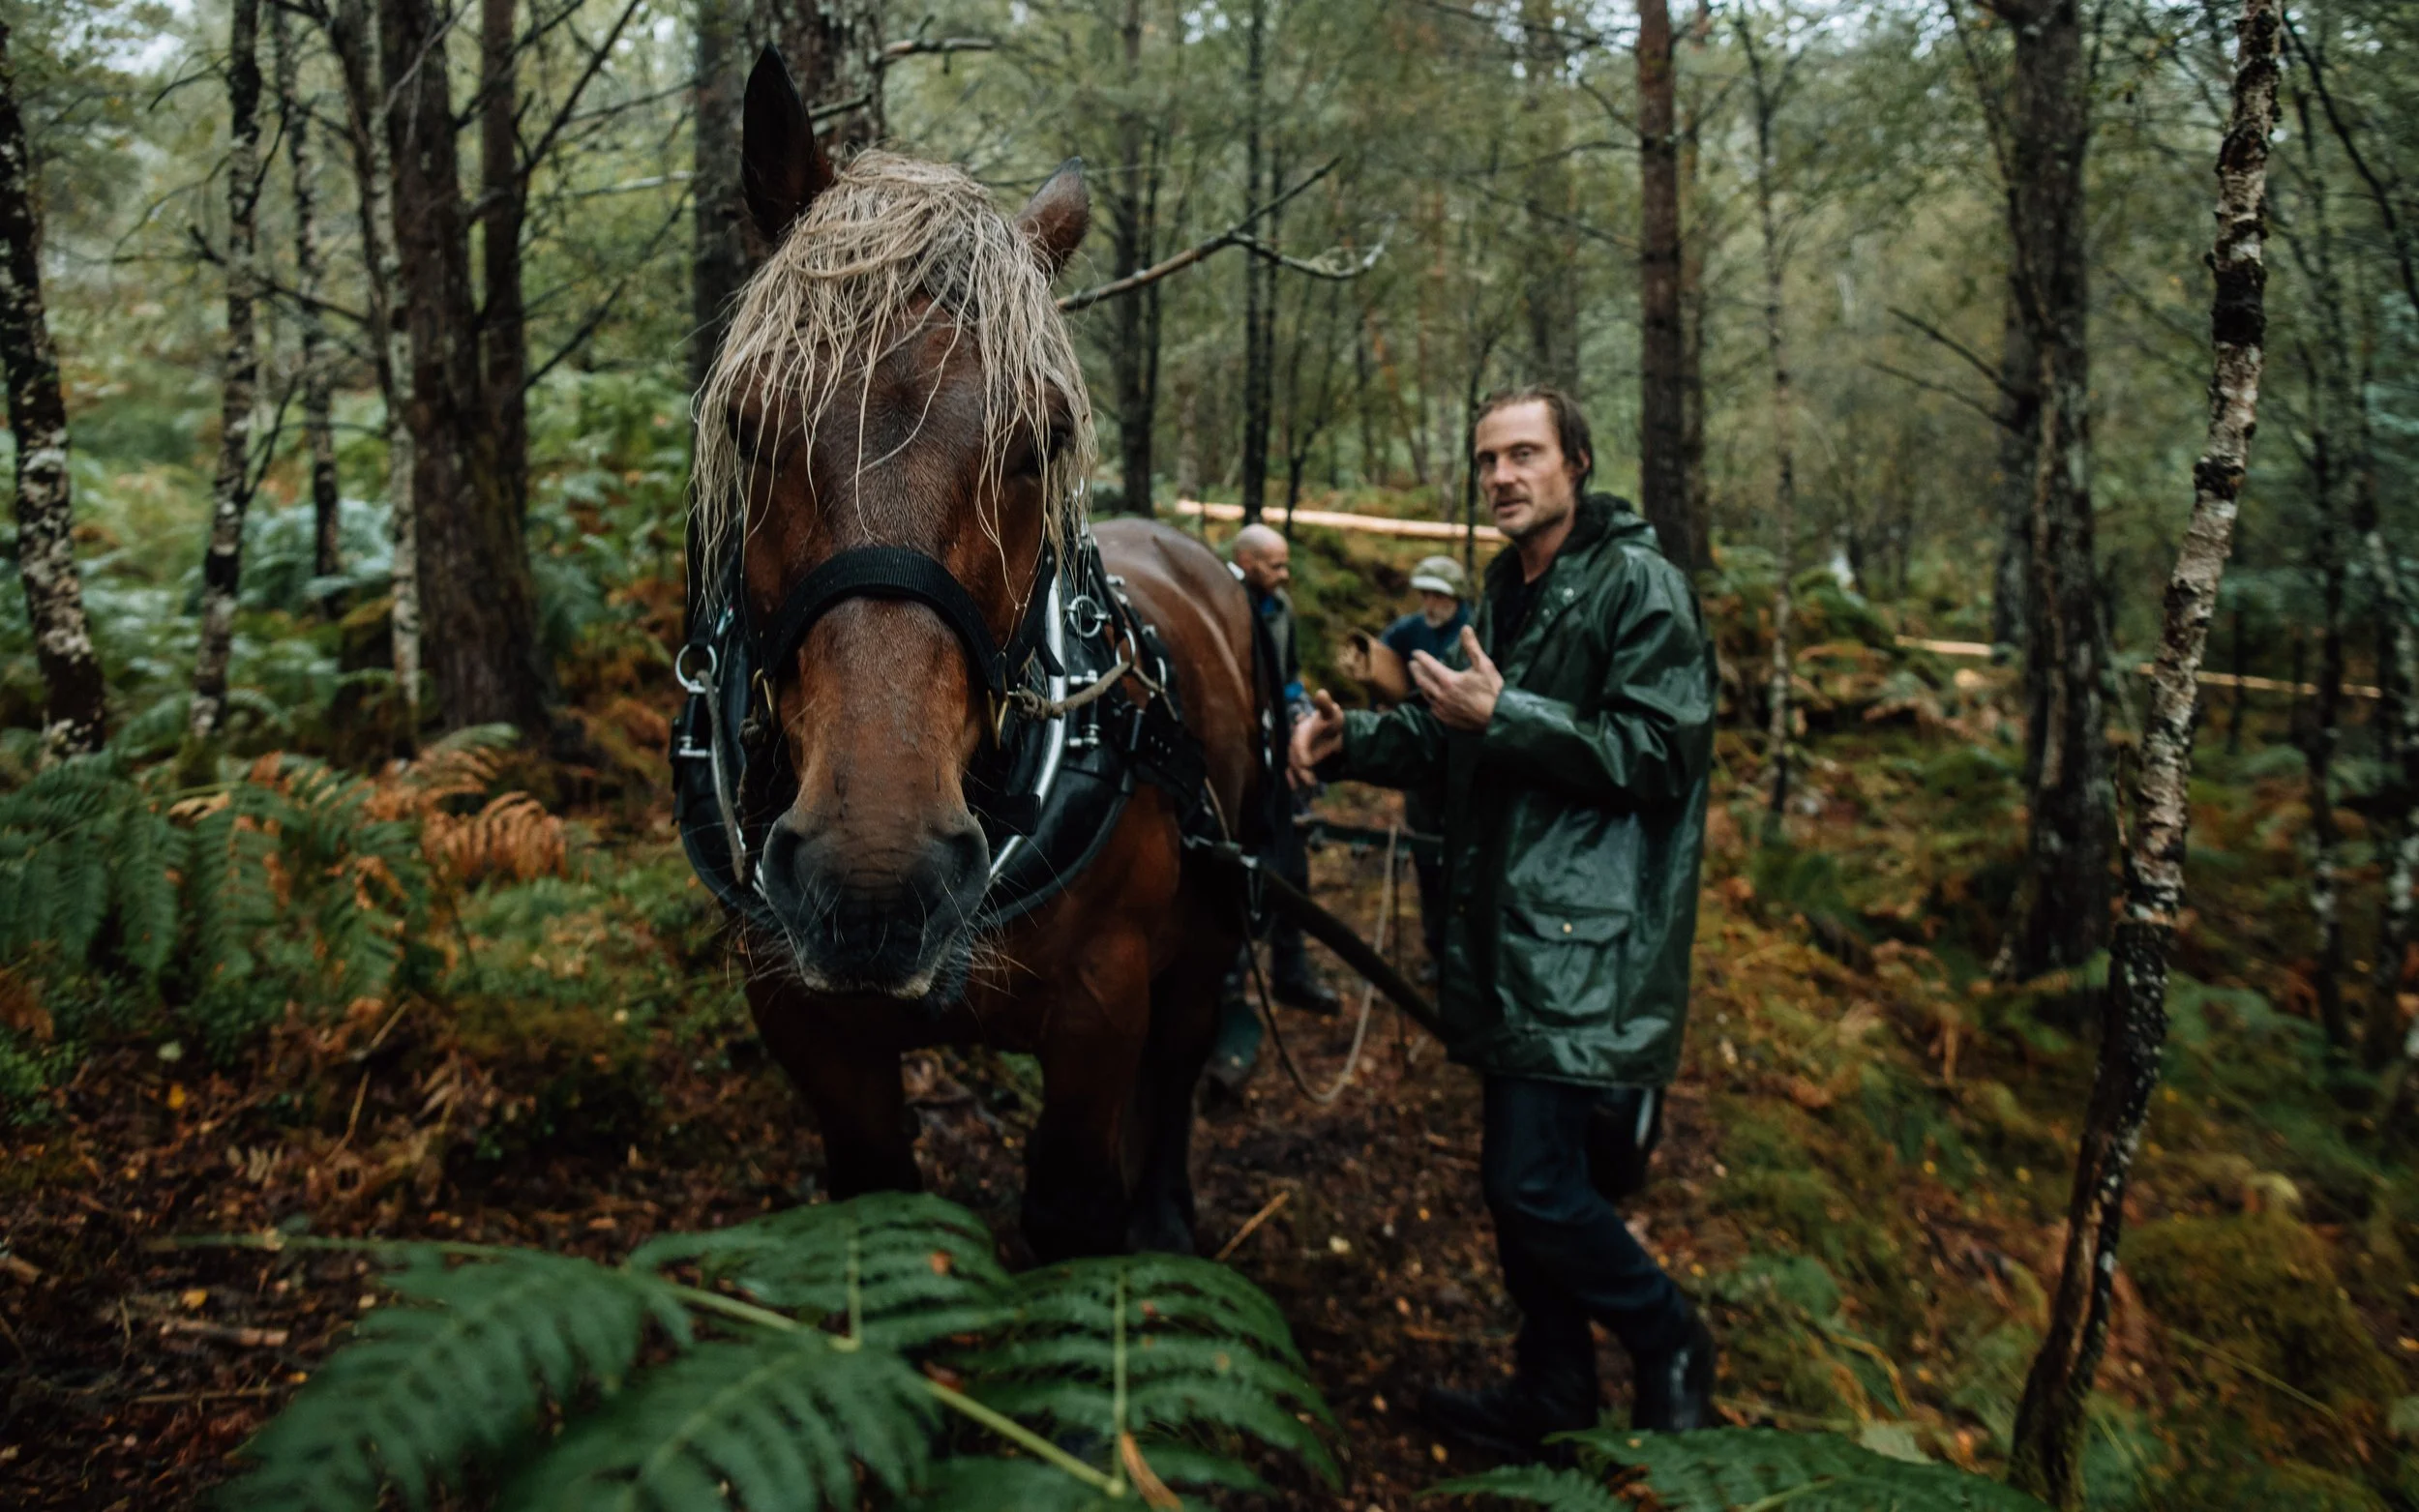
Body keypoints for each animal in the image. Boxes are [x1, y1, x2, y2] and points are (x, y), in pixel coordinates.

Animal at [679, 49, 1269, 1261]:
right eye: (751, 426)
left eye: (1043, 439)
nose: (872, 878)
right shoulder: (812, 1031)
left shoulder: (1101, 1014)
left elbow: (1072, 1206)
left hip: (1201, 942)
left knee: (1178, 1073)